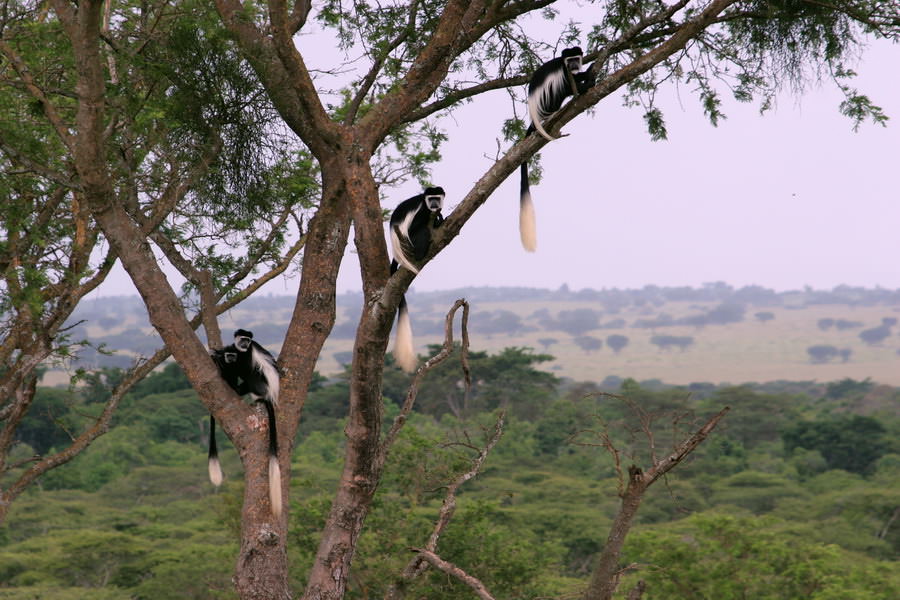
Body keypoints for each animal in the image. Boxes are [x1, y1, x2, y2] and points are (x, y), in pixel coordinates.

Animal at [388, 188, 444, 372]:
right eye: (430, 198)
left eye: (437, 198)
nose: (434, 204)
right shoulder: (422, 210)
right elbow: (419, 224)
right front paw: (439, 221)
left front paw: (440, 217)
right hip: (409, 242)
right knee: (422, 230)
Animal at [516, 47, 596, 251]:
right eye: (570, 60)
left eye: (576, 58)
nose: (574, 65)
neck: (562, 63)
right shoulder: (562, 73)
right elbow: (569, 83)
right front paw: (587, 80)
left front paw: (588, 70)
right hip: (550, 98)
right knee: (562, 90)